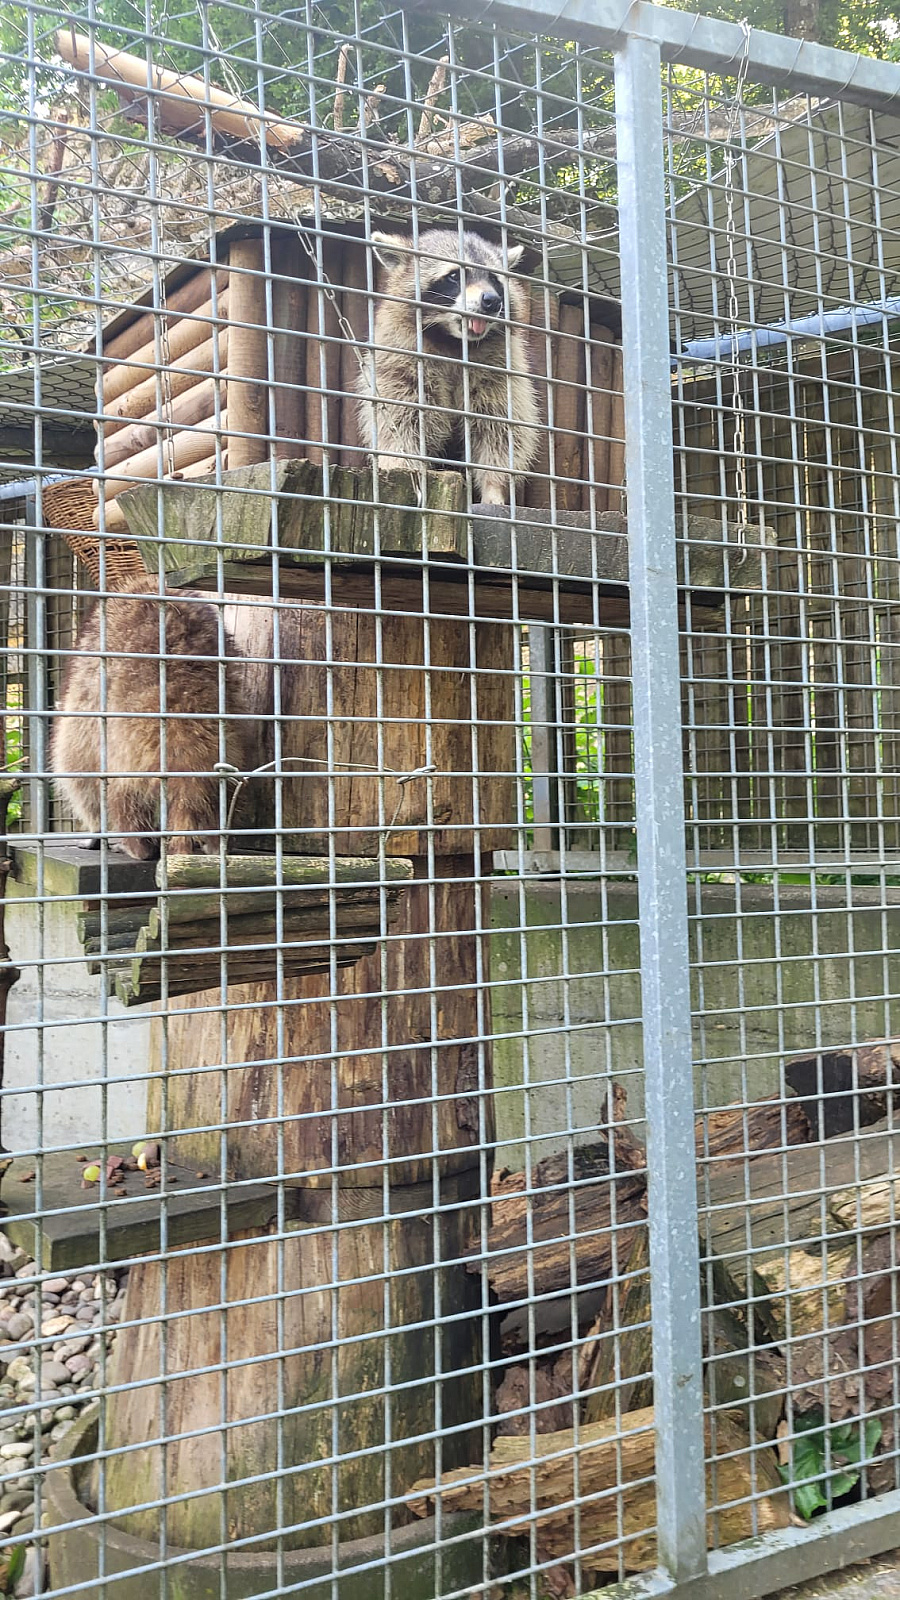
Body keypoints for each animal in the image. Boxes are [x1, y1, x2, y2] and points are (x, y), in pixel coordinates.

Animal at [356, 228, 540, 505]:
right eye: (454, 276)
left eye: (494, 279)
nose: (492, 300)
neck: (453, 341)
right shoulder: (399, 359)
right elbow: (400, 421)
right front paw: (402, 466)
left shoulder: (499, 368)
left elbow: (500, 428)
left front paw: (493, 487)